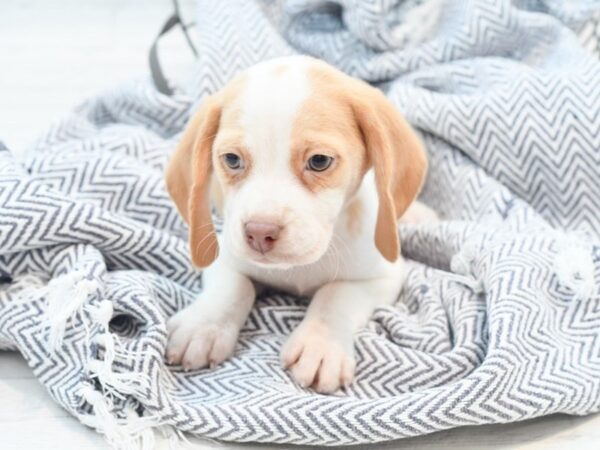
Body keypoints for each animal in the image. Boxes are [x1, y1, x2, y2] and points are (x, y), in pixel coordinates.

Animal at [165, 55, 436, 394]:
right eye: (231, 159)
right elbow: (235, 286)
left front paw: (321, 346)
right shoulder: (223, 254)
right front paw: (203, 326)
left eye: (319, 161)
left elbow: (334, 295)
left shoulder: (383, 276)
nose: (259, 232)